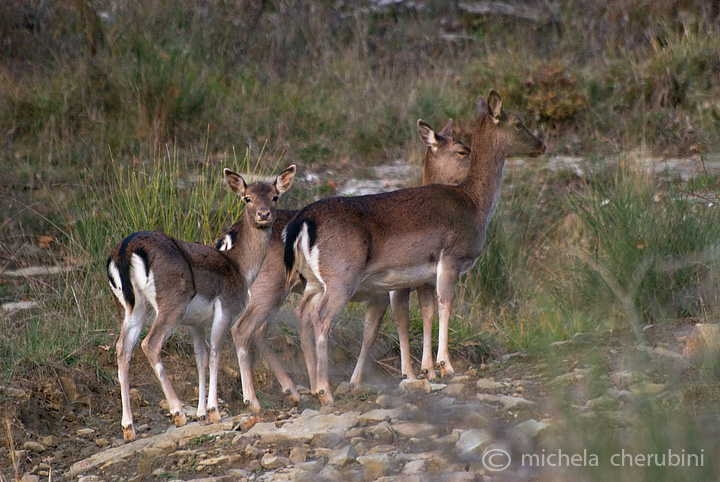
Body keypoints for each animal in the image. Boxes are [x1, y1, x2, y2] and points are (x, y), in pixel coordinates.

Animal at [106, 165, 296, 440]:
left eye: (275, 196)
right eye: (247, 198)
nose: (264, 214)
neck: (241, 268)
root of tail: (126, 249)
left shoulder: (195, 322)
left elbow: (201, 358)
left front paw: (202, 413)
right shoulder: (226, 306)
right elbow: (216, 351)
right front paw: (216, 410)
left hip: (131, 306)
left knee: (122, 348)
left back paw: (128, 427)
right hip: (173, 301)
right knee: (150, 344)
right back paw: (177, 412)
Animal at [219, 118, 472, 412]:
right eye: (461, 151)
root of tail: (228, 237)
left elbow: (380, 326)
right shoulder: (392, 286)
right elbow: (394, 322)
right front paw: (410, 373)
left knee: (260, 330)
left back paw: (293, 390)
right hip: (269, 286)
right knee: (250, 329)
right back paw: (275, 395)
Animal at [284, 89, 544, 402]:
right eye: (518, 123)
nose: (541, 145)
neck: (475, 206)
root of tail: (303, 222)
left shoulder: (424, 275)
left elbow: (428, 312)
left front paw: (427, 370)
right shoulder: (451, 256)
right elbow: (446, 304)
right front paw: (445, 366)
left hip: (312, 280)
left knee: (301, 313)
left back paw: (314, 386)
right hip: (341, 275)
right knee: (321, 318)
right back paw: (325, 390)